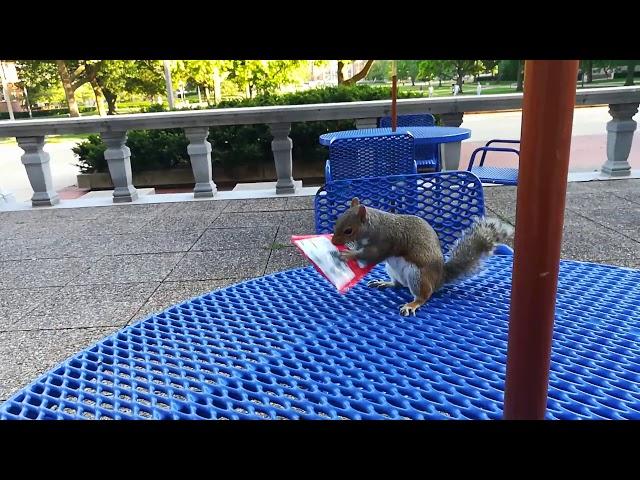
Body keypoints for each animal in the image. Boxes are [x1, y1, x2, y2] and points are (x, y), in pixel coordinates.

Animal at [332, 198, 512, 316]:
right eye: (337, 220)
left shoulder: (384, 242)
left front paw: (347, 254)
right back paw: (385, 282)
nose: (333, 241)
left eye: (348, 230)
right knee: (398, 284)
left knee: (424, 296)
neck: (373, 226)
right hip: (393, 269)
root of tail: (439, 279)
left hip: (417, 275)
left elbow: (370, 256)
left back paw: (413, 304)